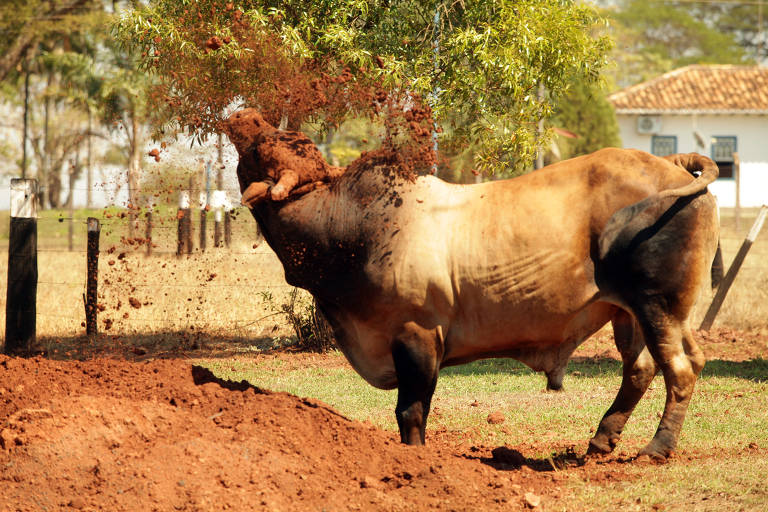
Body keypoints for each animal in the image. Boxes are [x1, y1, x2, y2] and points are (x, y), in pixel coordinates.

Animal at [224, 108, 720, 460]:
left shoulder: (417, 334)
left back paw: (657, 449)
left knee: (680, 369)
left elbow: (411, 411)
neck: (353, 224)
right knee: (642, 369)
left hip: (658, 305)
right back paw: (600, 441)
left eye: (267, 145)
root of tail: (672, 164)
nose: (240, 114)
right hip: (628, 312)